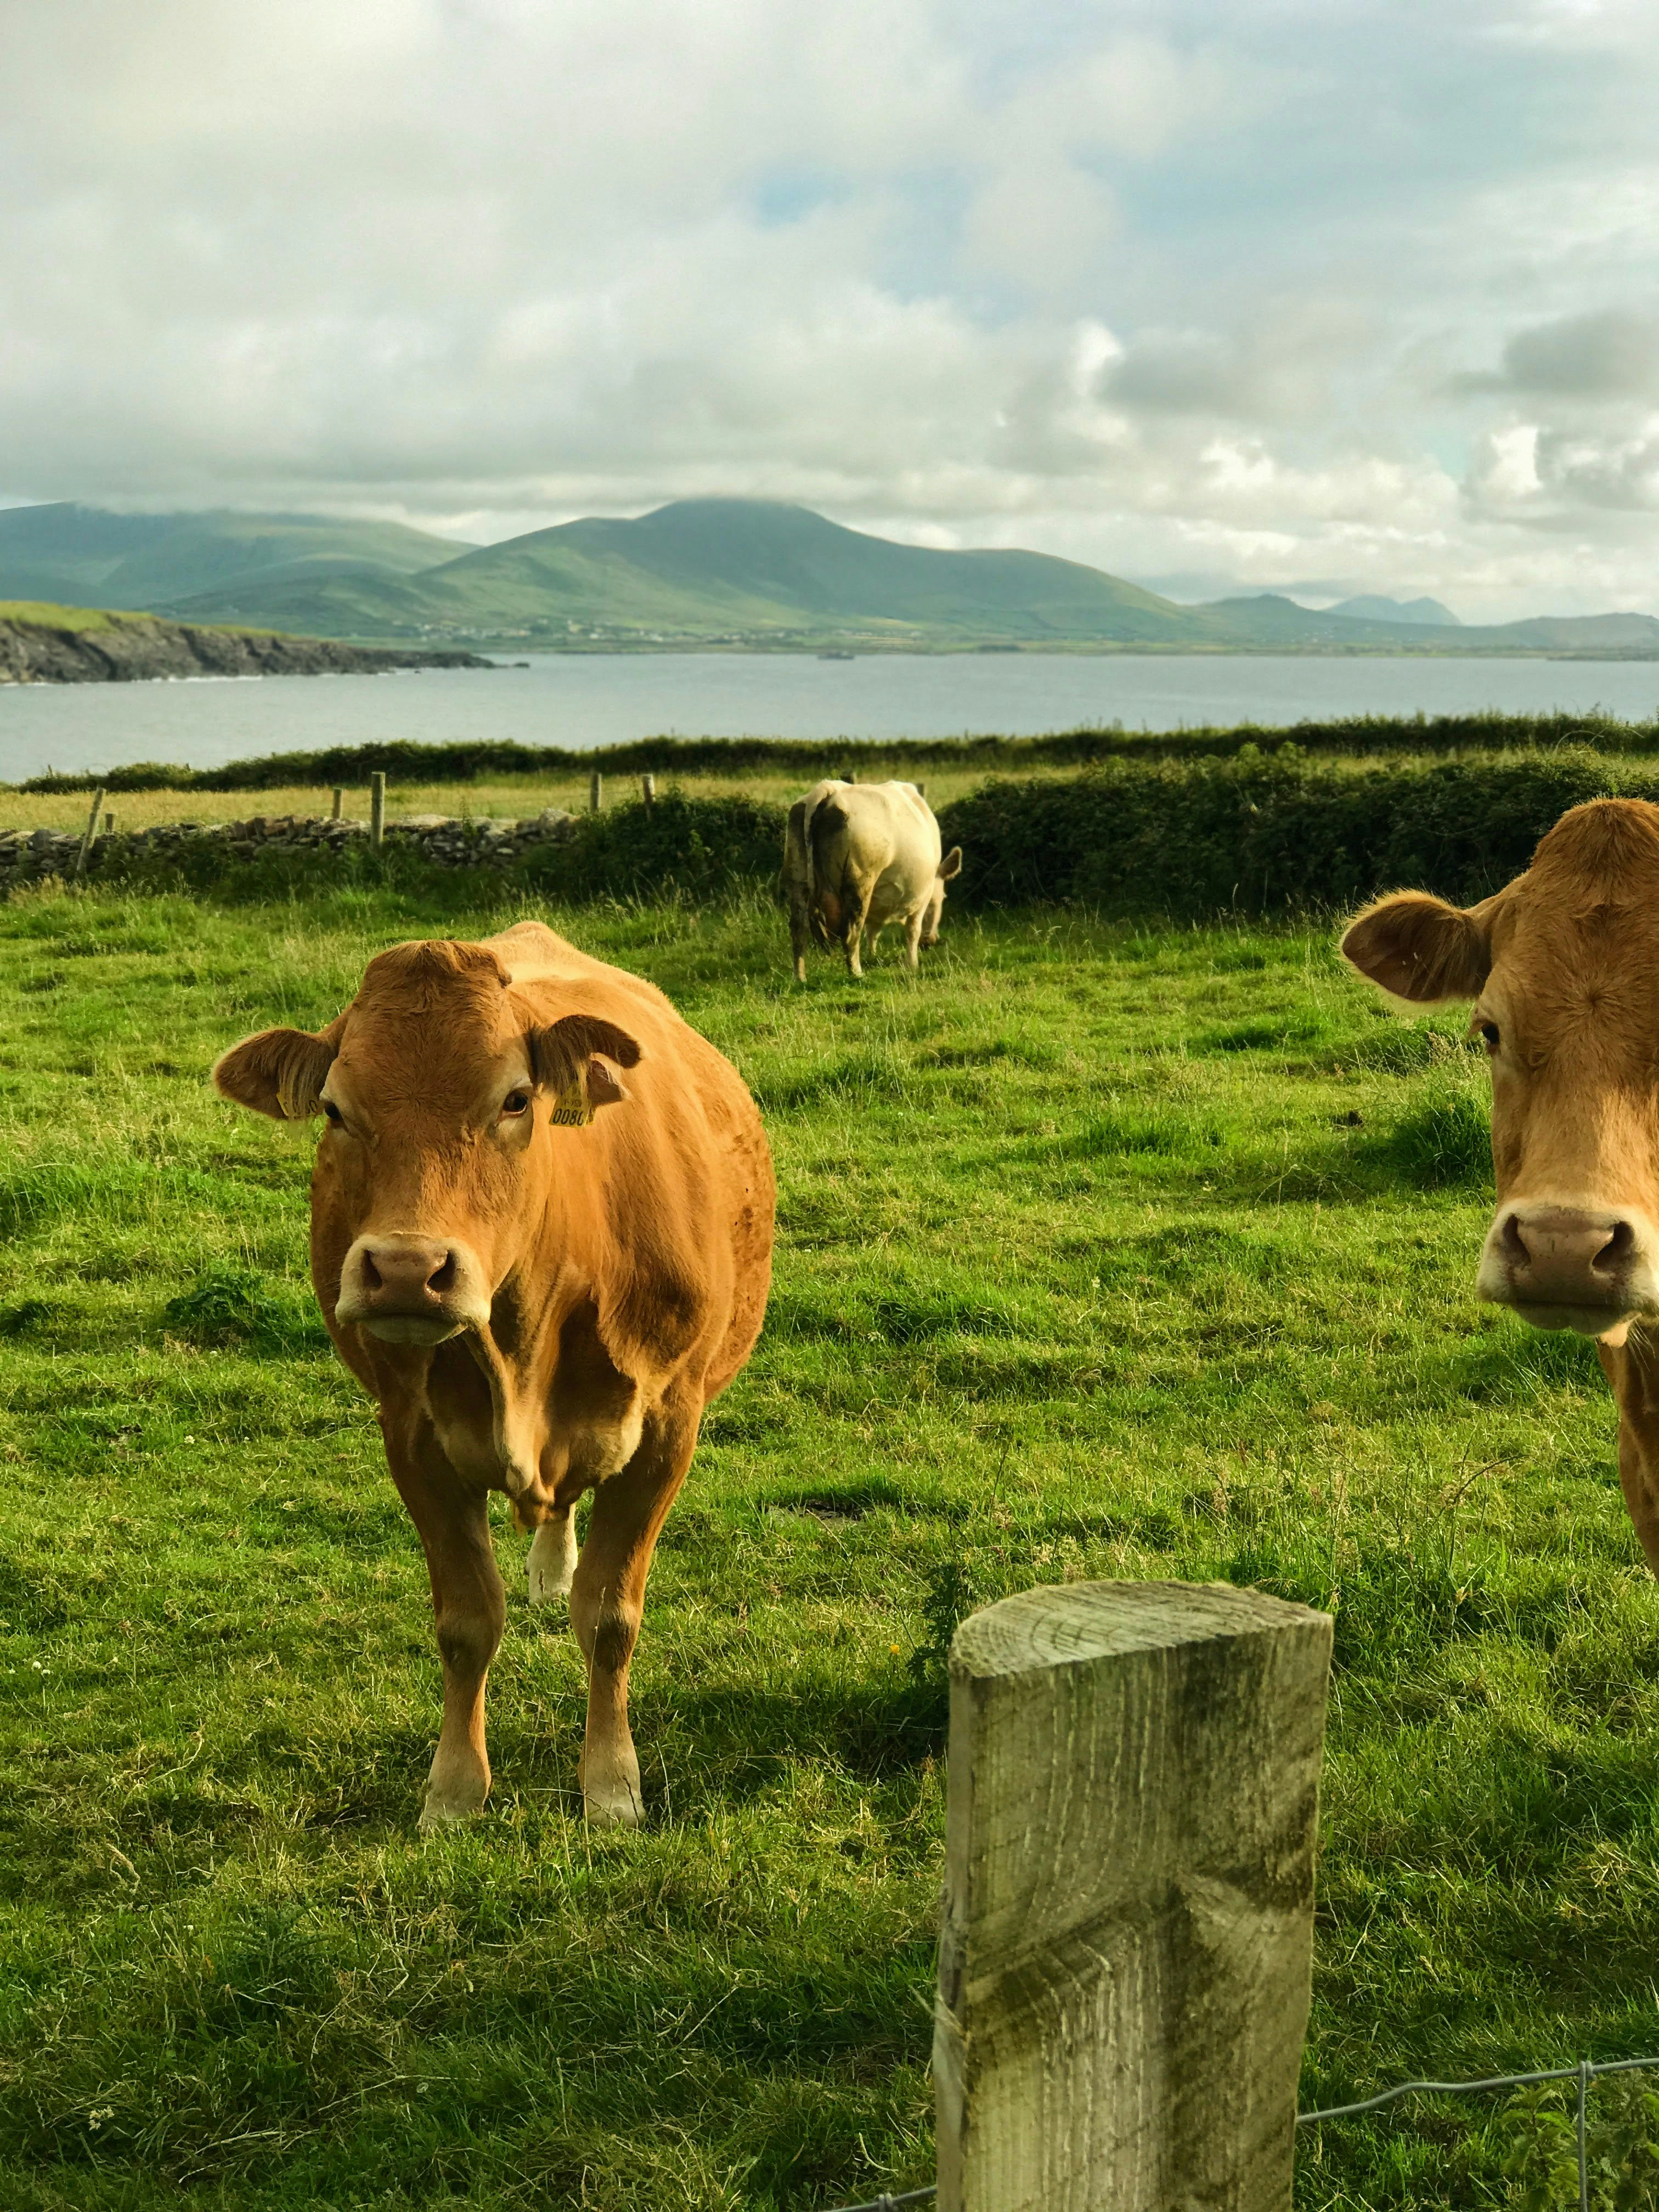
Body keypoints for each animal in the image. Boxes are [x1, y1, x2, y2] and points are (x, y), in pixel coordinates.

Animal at [213, 920, 774, 1829]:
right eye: (335, 1109)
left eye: (515, 1100)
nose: (407, 1270)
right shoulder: (413, 1440)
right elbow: (467, 1622)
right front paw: (453, 1789)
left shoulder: (667, 1428)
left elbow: (610, 1618)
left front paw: (611, 1785)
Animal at [783, 779, 963, 981]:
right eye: (940, 900)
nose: (931, 941)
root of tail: (829, 788)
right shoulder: (922, 896)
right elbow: (912, 930)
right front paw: (913, 964)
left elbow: (873, 930)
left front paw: (873, 955)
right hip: (860, 882)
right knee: (851, 933)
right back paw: (857, 973)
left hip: (797, 878)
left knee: (799, 931)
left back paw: (800, 978)